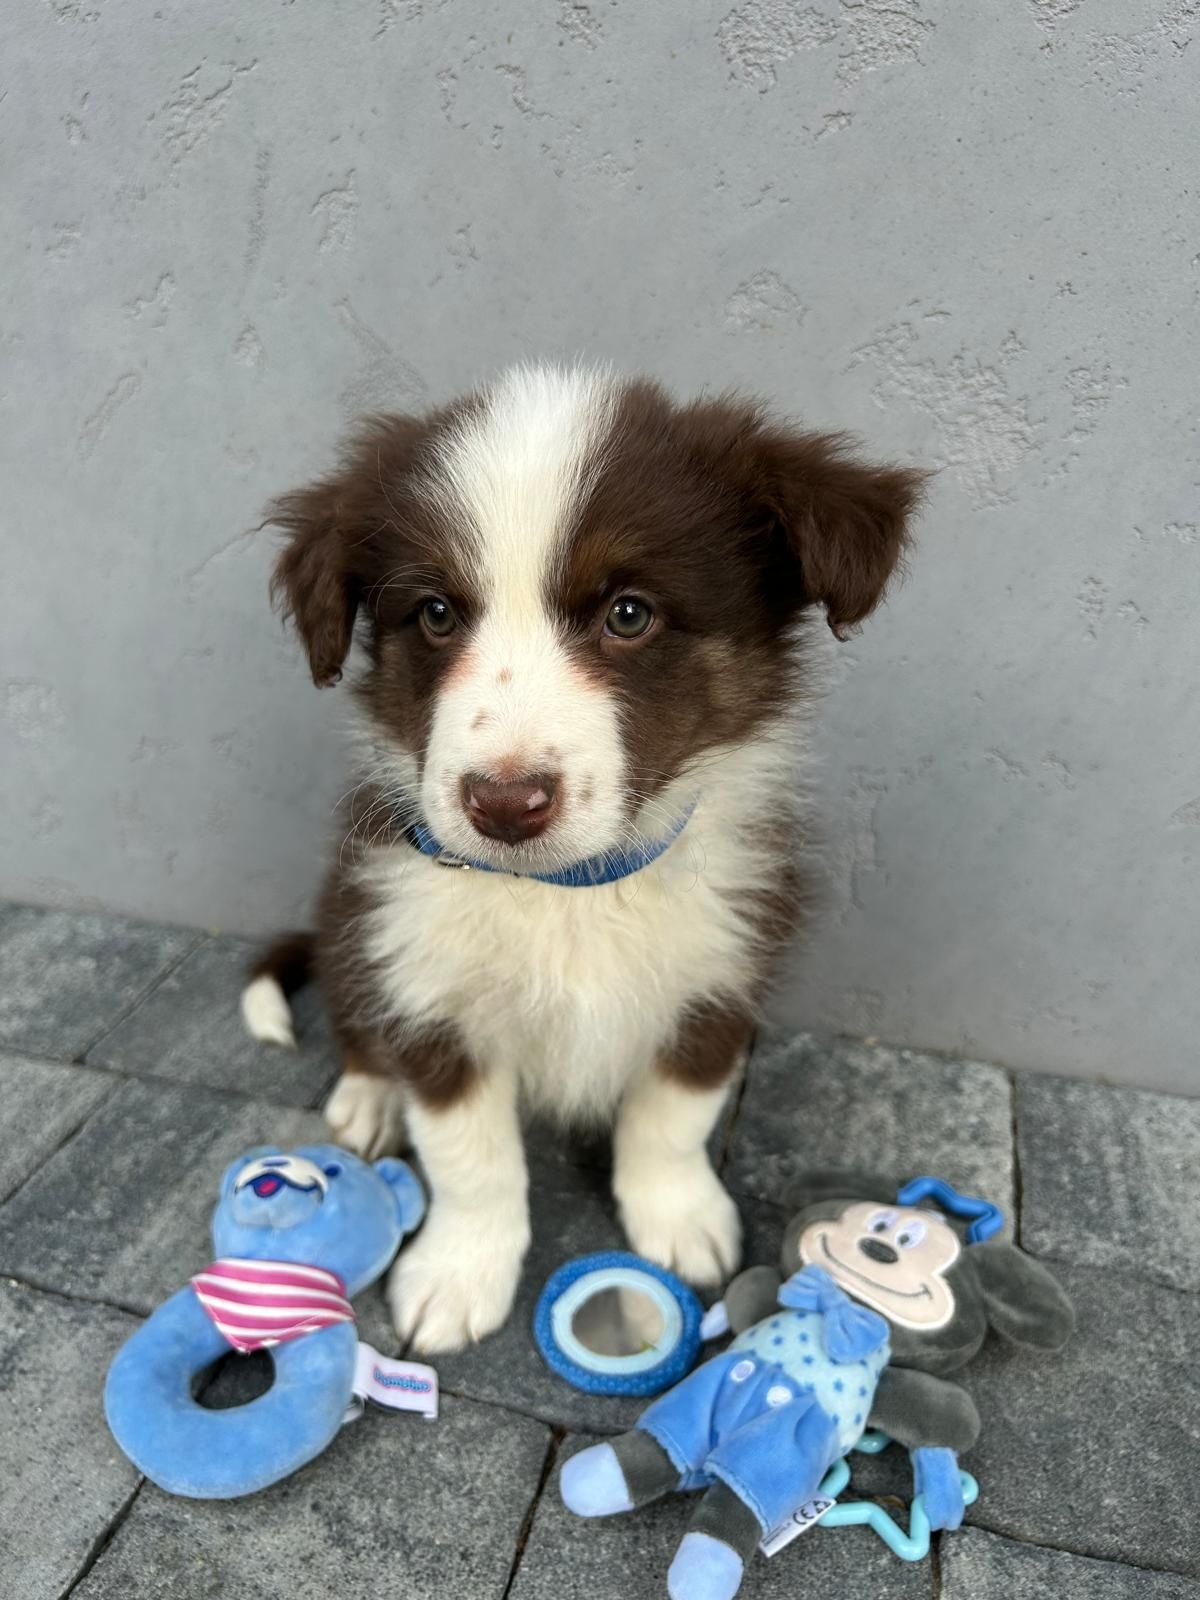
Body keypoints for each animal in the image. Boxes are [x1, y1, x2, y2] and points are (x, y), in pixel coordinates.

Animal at [240, 363, 928, 1350]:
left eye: (629, 615)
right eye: (436, 614)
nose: (503, 804)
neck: (568, 891)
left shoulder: (721, 974)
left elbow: (673, 1116)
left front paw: (679, 1217)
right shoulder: (427, 985)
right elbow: (470, 1157)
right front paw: (458, 1274)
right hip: (350, 918)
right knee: (357, 1020)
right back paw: (368, 1099)